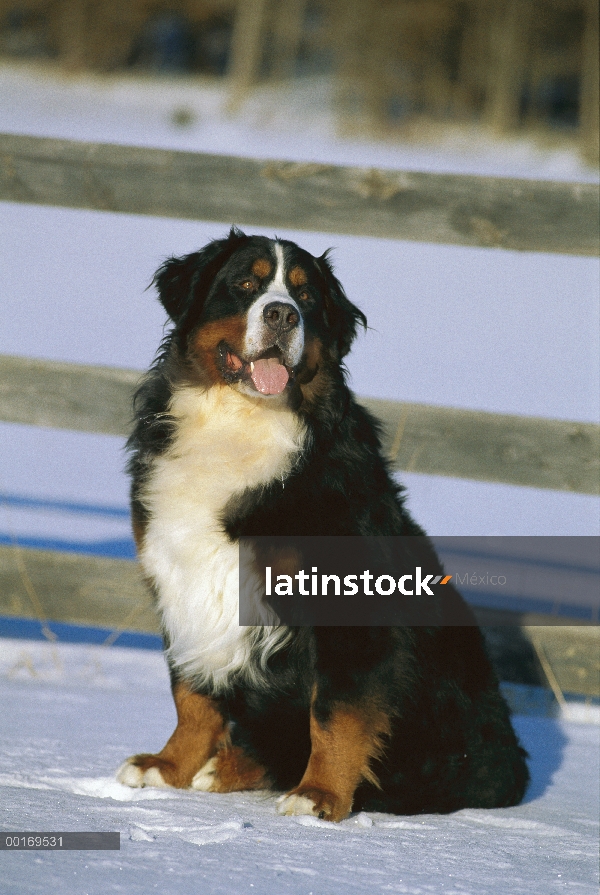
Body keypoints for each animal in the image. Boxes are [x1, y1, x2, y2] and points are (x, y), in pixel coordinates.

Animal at [117, 229, 528, 820]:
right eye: (245, 284)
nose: (283, 315)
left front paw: (320, 796)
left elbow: (335, 713)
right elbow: (191, 693)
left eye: (306, 297)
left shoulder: (350, 609)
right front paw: (168, 767)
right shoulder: (179, 579)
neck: (240, 424)